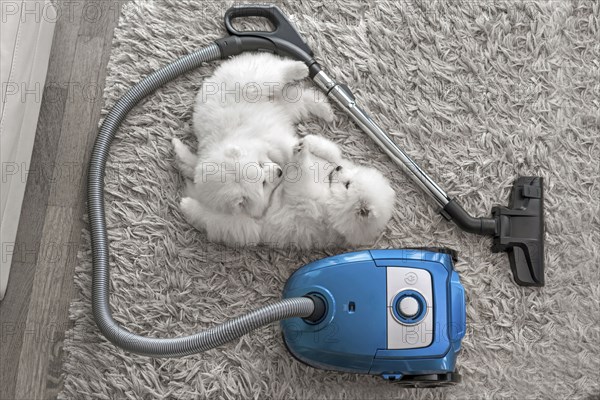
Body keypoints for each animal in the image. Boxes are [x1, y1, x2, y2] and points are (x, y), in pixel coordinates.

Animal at [176, 135, 396, 247]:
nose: (338, 169)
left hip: (241, 224)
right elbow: (331, 151)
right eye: (351, 179)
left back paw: (187, 204)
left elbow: (301, 175)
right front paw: (306, 142)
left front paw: (302, 152)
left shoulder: (306, 197)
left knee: (210, 218)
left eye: (348, 185)